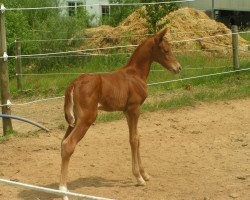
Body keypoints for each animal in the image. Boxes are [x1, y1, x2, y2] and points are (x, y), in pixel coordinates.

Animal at [60, 27, 182, 198]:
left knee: (62, 143)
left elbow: (136, 138)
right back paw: (63, 191)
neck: (135, 74)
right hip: (87, 118)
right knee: (68, 144)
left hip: (74, 120)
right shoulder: (135, 109)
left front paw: (144, 174)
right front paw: (139, 178)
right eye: (166, 50)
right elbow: (134, 139)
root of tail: (74, 83)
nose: (178, 68)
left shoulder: (127, 112)